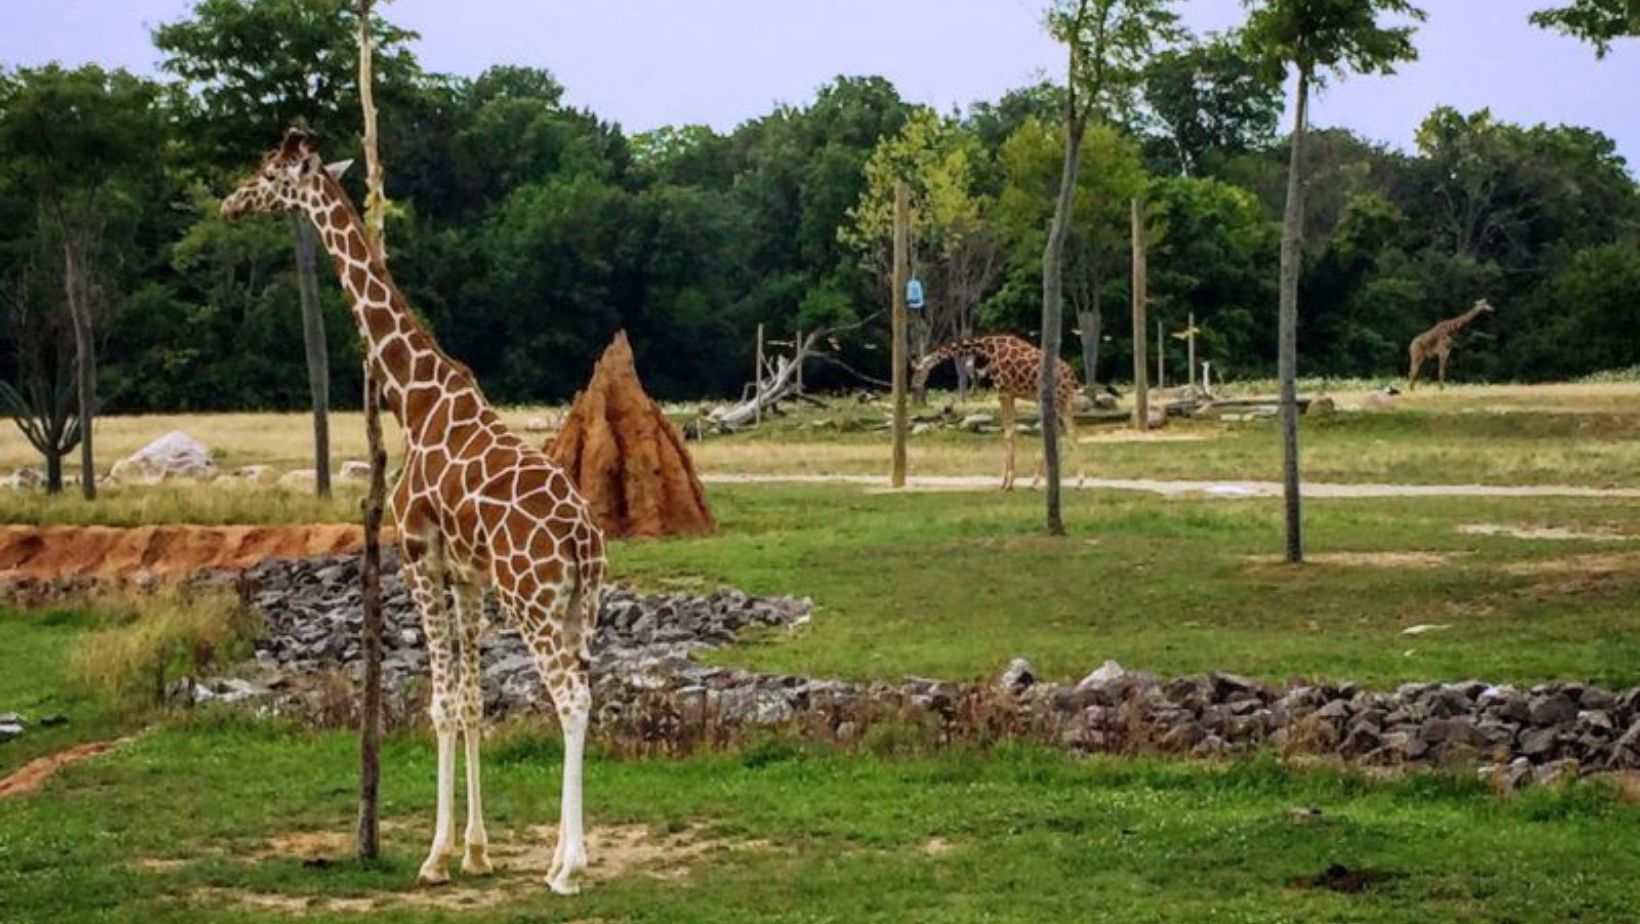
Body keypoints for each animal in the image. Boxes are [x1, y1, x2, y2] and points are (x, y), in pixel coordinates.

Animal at [218, 130, 603, 899]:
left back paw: (568, 870)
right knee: (583, 691)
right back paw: (557, 856)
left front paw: (434, 856)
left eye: (269, 173)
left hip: (533, 599)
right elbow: (473, 699)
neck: (411, 398)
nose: (229, 201)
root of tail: (581, 536)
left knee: (571, 697)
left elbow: (440, 702)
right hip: (580, 603)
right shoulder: (467, 572)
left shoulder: (416, 551)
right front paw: (476, 852)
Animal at [911, 333, 1075, 492]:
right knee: (1067, 432)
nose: (913, 385)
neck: (988, 348)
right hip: (1061, 403)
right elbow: (1011, 432)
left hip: (1055, 401)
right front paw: (1009, 482)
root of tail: (1072, 378)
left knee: (1067, 432)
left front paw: (1005, 483)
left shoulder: (1002, 392)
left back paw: (1051, 482)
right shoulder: (1011, 394)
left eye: (919, 370)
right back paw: (1055, 482)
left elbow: (1007, 433)